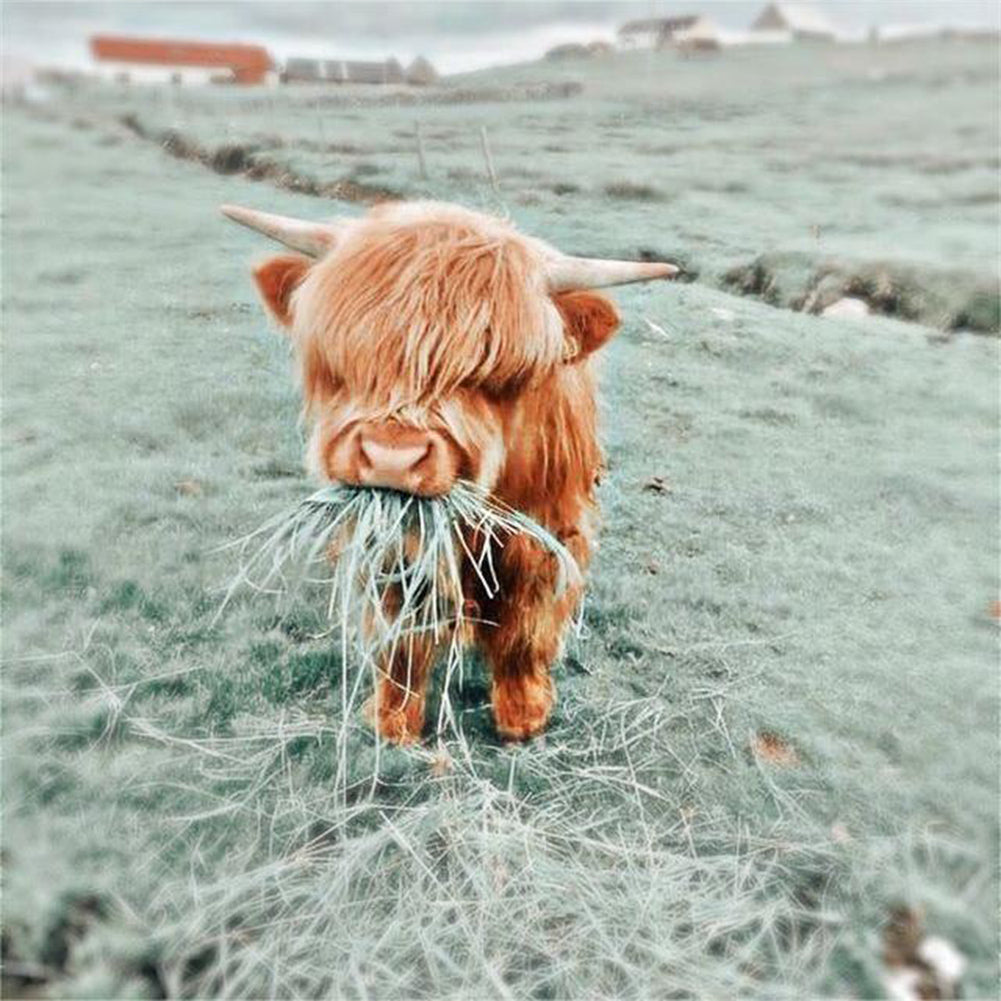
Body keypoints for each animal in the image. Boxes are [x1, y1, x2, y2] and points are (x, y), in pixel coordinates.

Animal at [222, 200, 676, 743]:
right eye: (346, 360)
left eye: (495, 375)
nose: (392, 456)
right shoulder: (395, 540)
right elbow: (402, 630)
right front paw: (394, 719)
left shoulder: (545, 528)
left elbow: (526, 621)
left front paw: (523, 714)